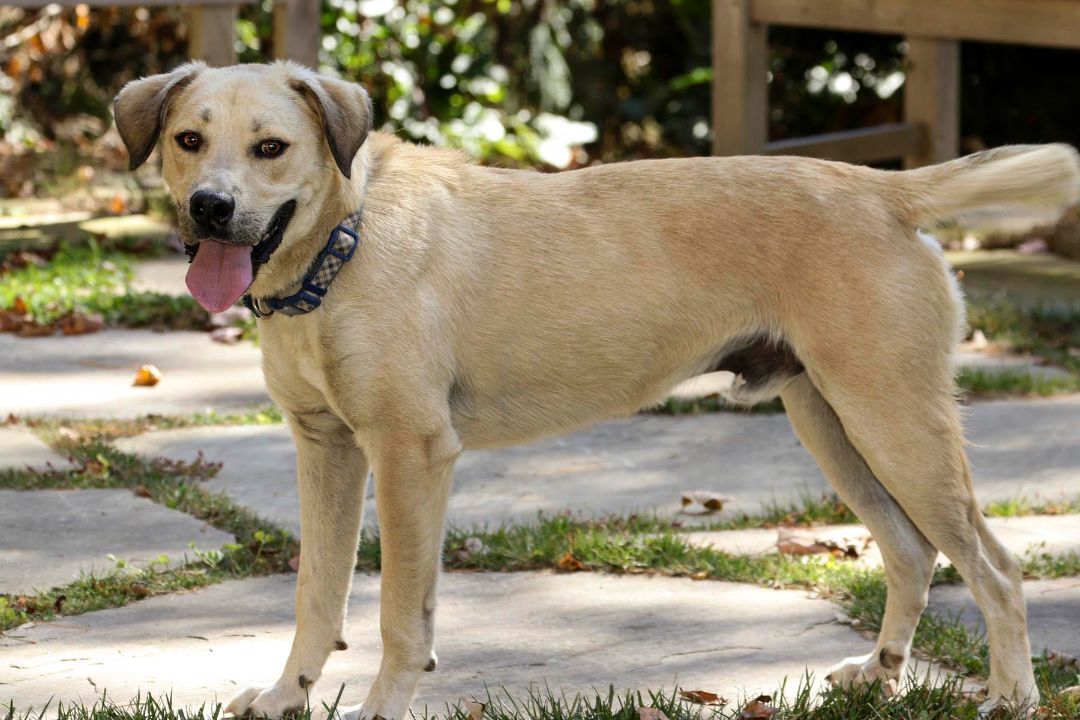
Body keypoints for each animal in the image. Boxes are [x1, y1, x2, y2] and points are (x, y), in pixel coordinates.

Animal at [116, 63, 1080, 720]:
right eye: (188, 140)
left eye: (272, 148)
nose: (209, 208)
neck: (342, 243)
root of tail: (884, 187)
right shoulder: (325, 449)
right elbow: (317, 594)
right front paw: (288, 696)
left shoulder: (409, 456)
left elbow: (397, 616)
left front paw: (382, 706)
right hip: (833, 420)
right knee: (913, 553)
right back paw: (878, 676)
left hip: (893, 421)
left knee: (996, 569)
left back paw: (1011, 696)